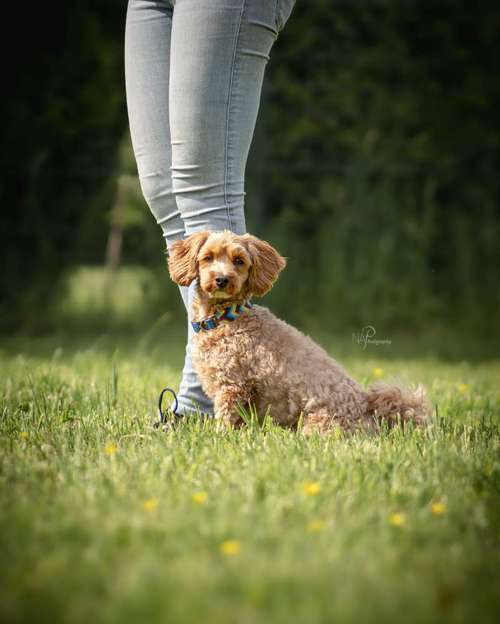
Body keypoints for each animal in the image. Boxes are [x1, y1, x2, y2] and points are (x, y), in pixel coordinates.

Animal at [168, 230, 430, 434]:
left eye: (239, 261)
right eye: (208, 258)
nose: (222, 279)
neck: (226, 318)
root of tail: (368, 408)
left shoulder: (232, 386)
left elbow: (226, 419)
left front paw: (220, 438)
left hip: (319, 424)